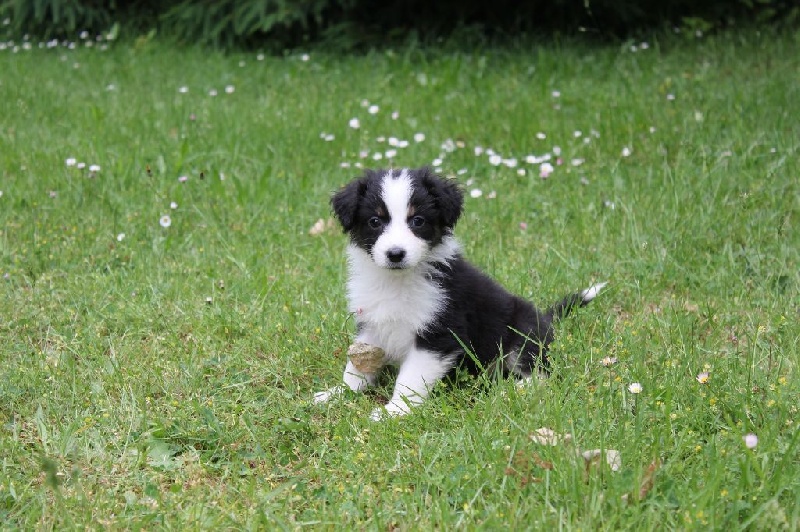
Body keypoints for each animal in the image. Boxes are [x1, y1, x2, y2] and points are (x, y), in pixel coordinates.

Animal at [316, 167, 604, 420]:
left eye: (417, 221)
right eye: (375, 221)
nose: (395, 254)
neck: (397, 281)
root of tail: (545, 318)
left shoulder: (439, 333)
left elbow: (410, 379)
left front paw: (395, 411)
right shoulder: (372, 326)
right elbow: (356, 368)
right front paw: (338, 394)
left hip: (523, 333)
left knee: (542, 375)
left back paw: (510, 392)